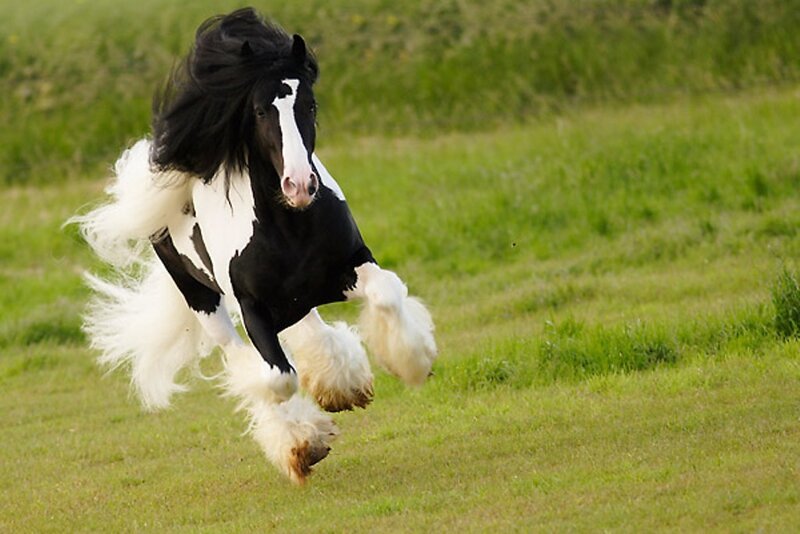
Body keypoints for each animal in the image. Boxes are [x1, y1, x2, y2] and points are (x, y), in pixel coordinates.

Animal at [70, 8, 437, 484]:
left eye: (309, 105)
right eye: (261, 110)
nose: (300, 185)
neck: (289, 228)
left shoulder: (352, 265)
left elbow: (388, 293)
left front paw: (412, 363)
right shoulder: (252, 309)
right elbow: (276, 378)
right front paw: (303, 445)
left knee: (306, 325)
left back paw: (340, 384)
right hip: (203, 300)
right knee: (241, 357)